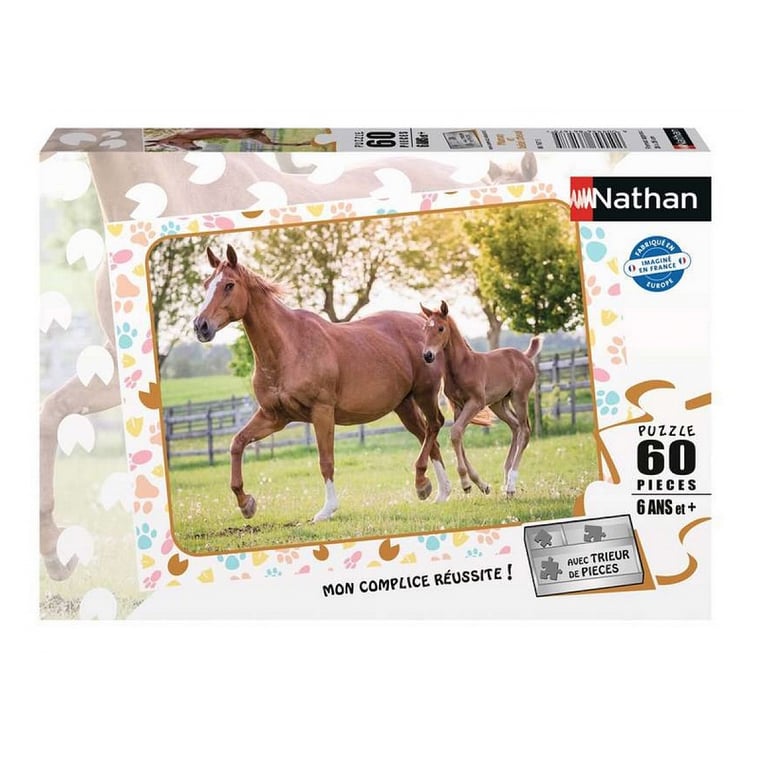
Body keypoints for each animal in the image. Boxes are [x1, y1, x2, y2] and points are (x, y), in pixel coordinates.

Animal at [193, 245, 451, 522]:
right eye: (206, 284)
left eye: (229, 285)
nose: (200, 326)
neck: (289, 347)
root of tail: (423, 323)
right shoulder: (274, 417)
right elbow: (237, 443)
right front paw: (246, 503)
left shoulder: (322, 412)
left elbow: (325, 460)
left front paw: (327, 510)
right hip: (404, 405)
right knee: (428, 436)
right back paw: (438, 491)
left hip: (425, 394)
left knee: (434, 426)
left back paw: (425, 484)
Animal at [420, 301, 541, 498]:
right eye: (424, 328)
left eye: (440, 328)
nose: (427, 355)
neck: (462, 366)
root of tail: (524, 356)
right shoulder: (459, 407)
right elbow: (458, 436)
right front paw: (480, 484)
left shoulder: (476, 403)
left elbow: (455, 432)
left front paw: (465, 483)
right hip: (499, 404)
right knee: (515, 426)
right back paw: (506, 482)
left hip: (519, 397)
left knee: (525, 430)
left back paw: (511, 485)